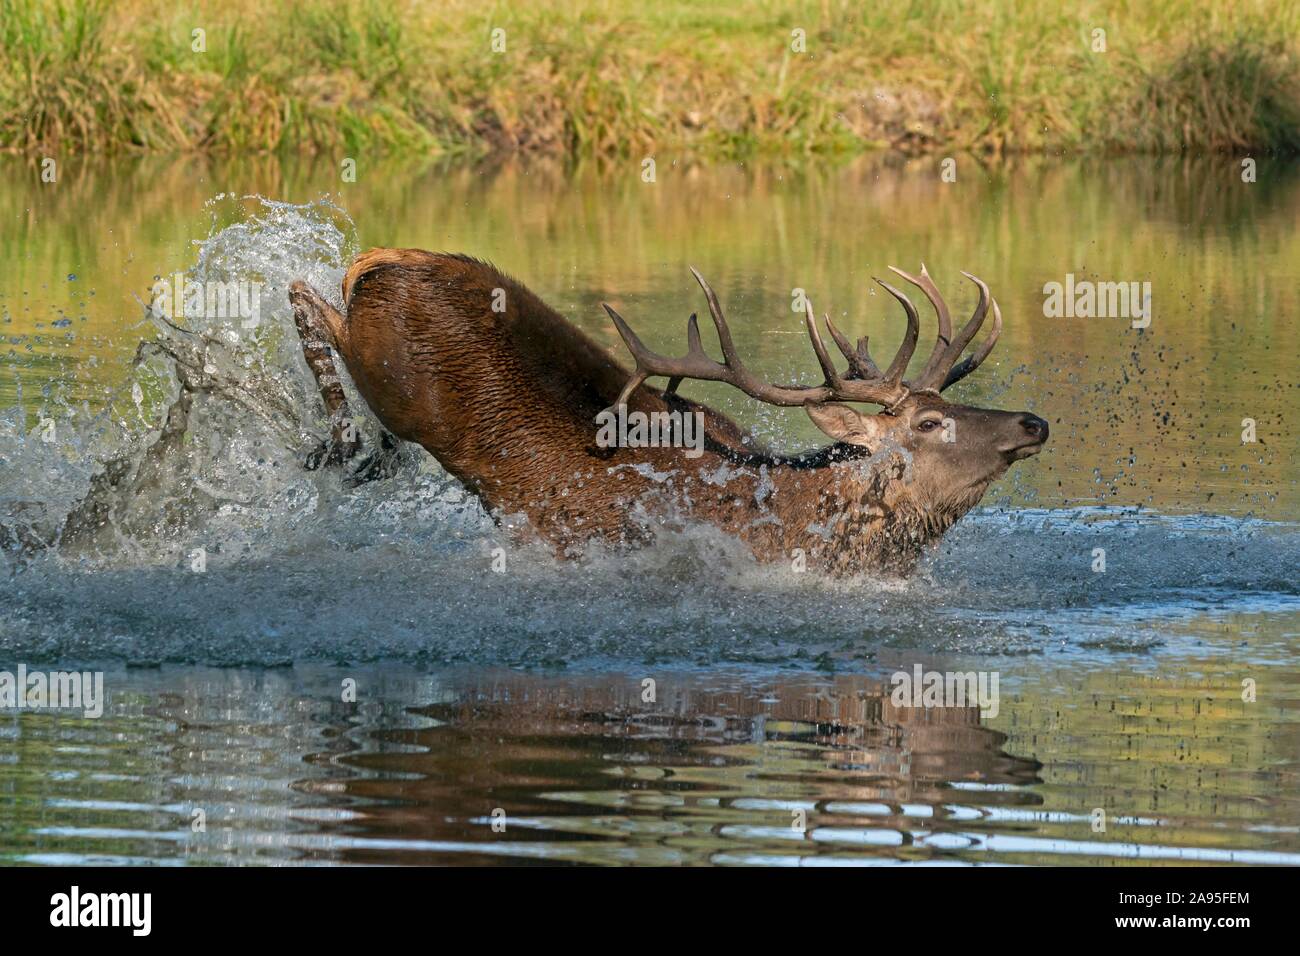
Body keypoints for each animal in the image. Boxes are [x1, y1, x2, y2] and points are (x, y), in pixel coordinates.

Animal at [287, 247, 1045, 574]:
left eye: (944, 402)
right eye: (927, 423)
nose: (1032, 422)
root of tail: (381, 258)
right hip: (391, 375)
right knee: (305, 296)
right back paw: (339, 440)